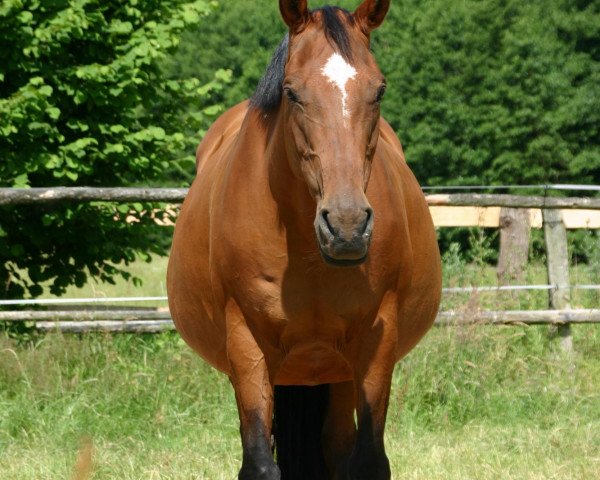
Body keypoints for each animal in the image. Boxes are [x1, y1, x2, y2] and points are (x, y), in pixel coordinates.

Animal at [168, 1, 440, 478]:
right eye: (292, 92)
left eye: (379, 90)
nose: (347, 226)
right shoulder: (245, 342)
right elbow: (259, 463)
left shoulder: (376, 342)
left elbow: (368, 460)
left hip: (338, 373)